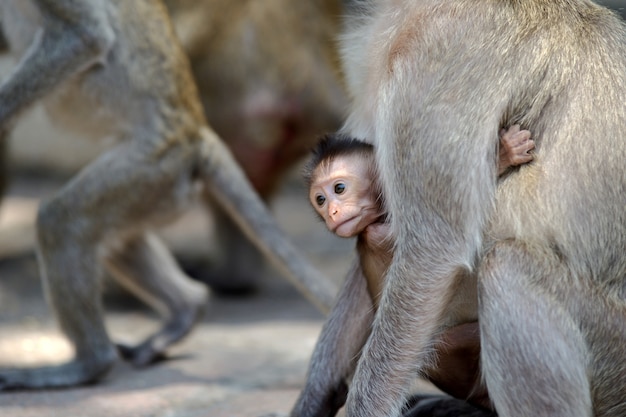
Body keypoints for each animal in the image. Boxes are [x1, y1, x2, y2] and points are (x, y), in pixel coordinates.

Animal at [0, 0, 336, 390]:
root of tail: (196, 131)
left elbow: (83, 37)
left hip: (155, 164)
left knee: (63, 221)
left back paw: (89, 364)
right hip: (162, 184)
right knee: (114, 238)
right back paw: (187, 308)